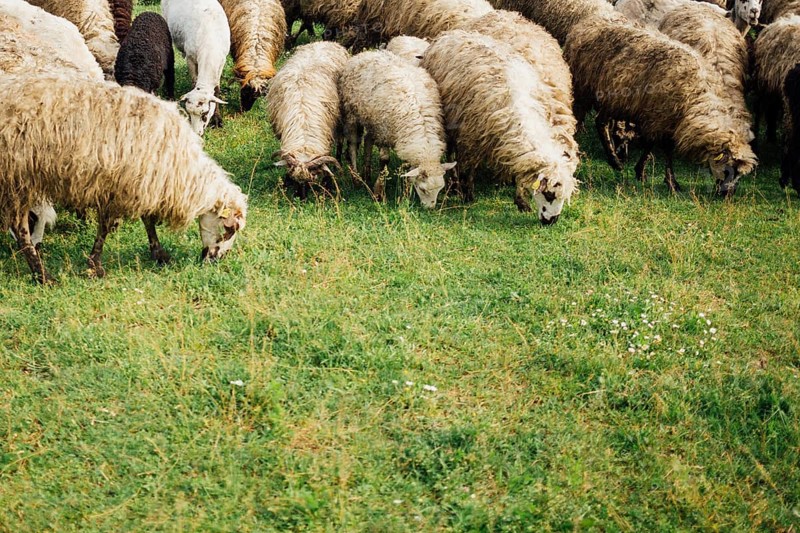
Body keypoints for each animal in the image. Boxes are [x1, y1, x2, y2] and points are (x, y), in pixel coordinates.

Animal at [0, 74, 248, 284]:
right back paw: (43, 275)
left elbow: (147, 220)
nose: (216, 259)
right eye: (229, 229)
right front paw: (95, 265)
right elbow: (106, 228)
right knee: (21, 230)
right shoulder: (118, 186)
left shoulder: (143, 183)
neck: (181, 168)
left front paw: (158, 253)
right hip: (17, 178)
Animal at [162, 0, 231, 136]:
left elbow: (217, 90)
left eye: (205, 113)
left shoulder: (221, 62)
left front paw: (217, 120)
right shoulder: (190, 58)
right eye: (189, 113)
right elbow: (194, 82)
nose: (197, 133)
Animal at [339, 50, 455, 208]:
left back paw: (366, 174)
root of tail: (367, 53)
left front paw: (406, 193)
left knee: (368, 140)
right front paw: (379, 194)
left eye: (440, 189)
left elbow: (406, 167)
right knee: (352, 146)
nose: (430, 208)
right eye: (423, 189)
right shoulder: (384, 133)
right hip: (352, 114)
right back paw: (356, 179)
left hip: (372, 121)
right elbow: (384, 161)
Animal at [421, 30, 579, 224]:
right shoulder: (472, 138)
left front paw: (521, 201)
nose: (551, 221)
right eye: (549, 194)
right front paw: (467, 194)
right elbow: (469, 167)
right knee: (452, 152)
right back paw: (455, 184)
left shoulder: (515, 147)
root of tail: (450, 33)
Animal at [565, 18, 757, 196]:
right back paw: (607, 158)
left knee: (601, 122)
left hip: (613, 98)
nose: (727, 194)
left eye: (740, 174)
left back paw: (614, 160)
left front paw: (640, 171)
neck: (697, 97)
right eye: (729, 168)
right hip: (585, 89)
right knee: (585, 119)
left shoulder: (659, 119)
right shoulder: (660, 117)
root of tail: (587, 24)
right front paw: (671, 182)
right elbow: (665, 150)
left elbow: (650, 145)